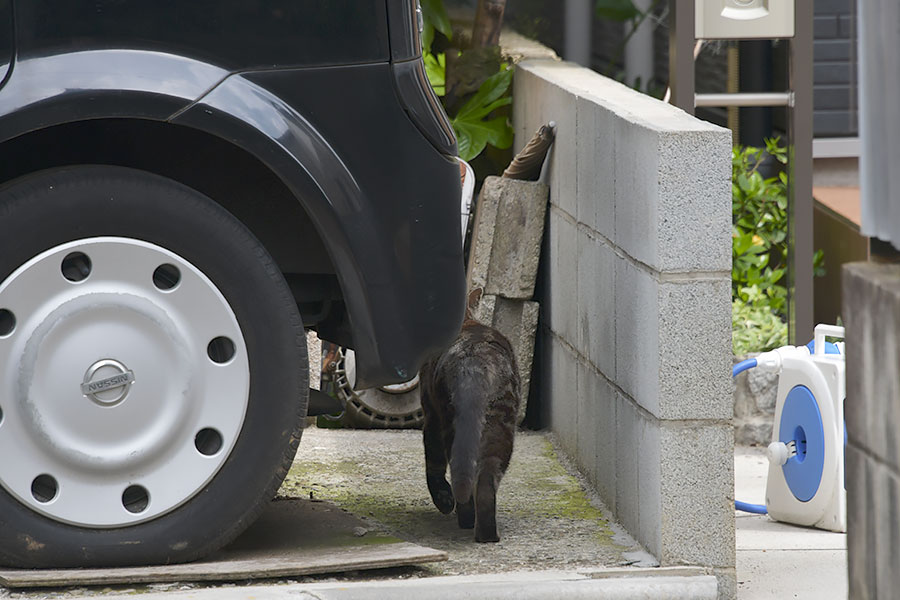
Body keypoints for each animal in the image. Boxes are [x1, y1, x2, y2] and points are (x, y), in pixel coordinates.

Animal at [422, 292, 520, 544]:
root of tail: (475, 361)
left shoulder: (430, 415)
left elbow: (433, 464)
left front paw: (444, 502)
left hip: (453, 423)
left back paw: (467, 520)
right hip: (500, 429)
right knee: (485, 480)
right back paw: (486, 534)